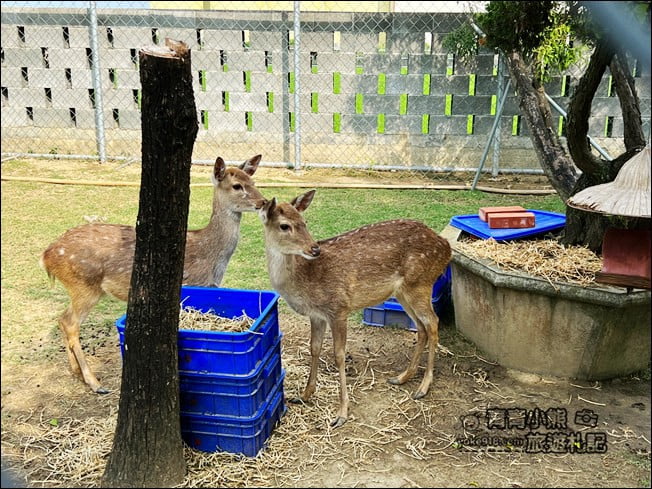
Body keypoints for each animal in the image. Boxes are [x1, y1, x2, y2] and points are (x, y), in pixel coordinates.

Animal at [40, 155, 267, 394]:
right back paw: (95, 382)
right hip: (84, 285)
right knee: (70, 323)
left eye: (253, 181)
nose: (263, 202)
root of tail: (46, 256)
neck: (211, 257)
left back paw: (76, 372)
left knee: (63, 319)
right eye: (237, 185)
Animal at [258, 190, 452, 428]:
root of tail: (446, 248)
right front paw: (304, 395)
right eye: (285, 225)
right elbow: (314, 348)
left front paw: (341, 413)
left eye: (304, 222)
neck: (304, 282)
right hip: (403, 292)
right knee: (421, 327)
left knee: (433, 323)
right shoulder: (317, 315)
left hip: (420, 283)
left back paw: (423, 387)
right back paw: (402, 377)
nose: (314, 249)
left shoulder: (338, 308)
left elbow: (339, 355)